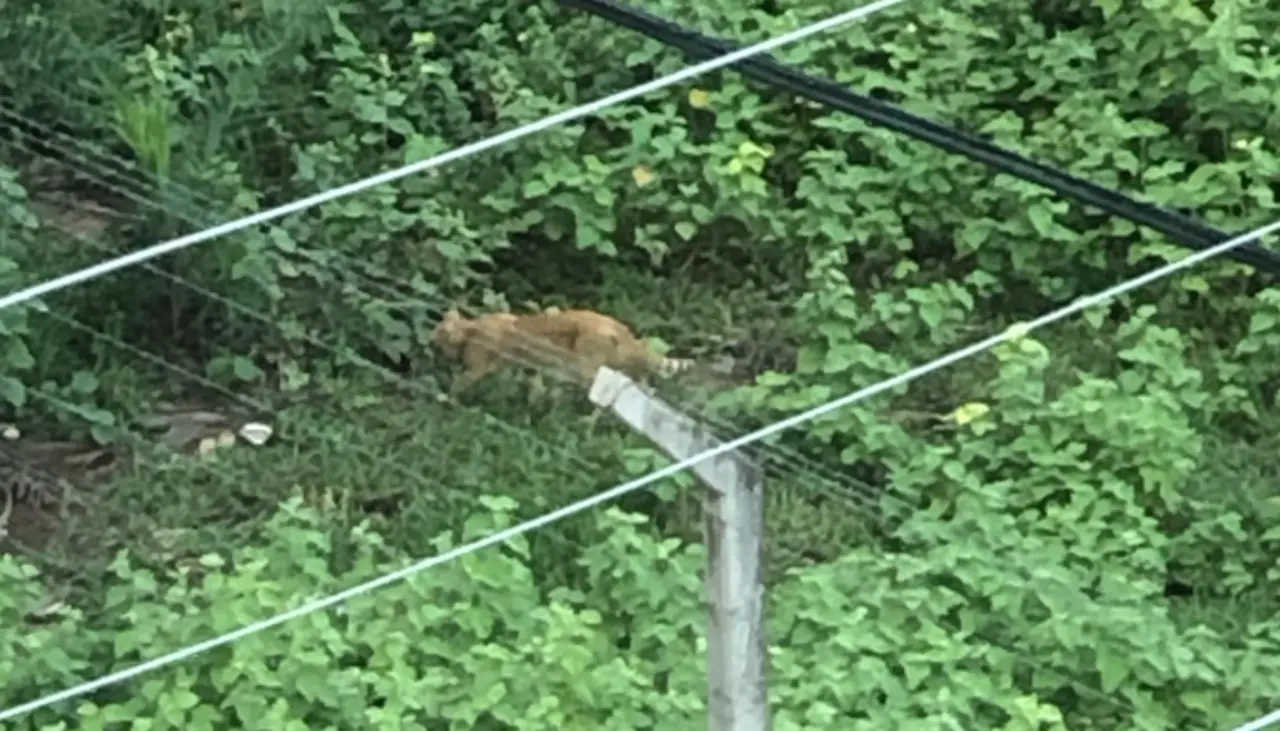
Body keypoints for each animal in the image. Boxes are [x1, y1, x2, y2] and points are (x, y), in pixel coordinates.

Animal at [432, 307, 696, 394]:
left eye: (439, 337)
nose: (430, 341)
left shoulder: (478, 368)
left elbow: (458, 384)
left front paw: (445, 398)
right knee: (641, 380)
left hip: (586, 366)